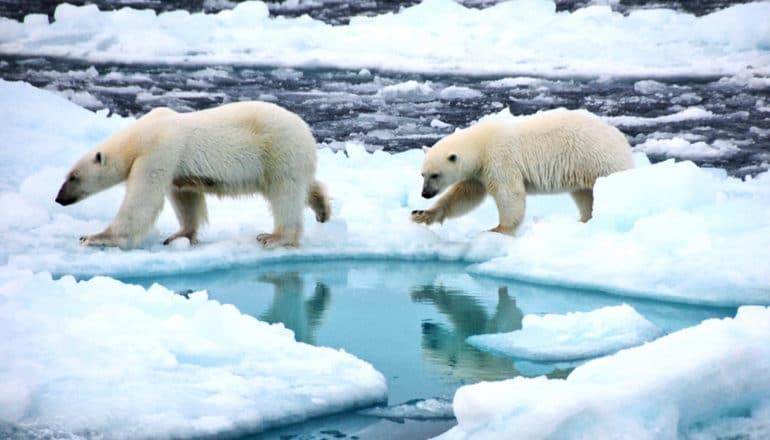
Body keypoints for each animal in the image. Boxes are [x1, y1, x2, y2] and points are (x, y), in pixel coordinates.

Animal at [53, 101, 330, 249]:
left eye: (73, 177)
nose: (58, 199)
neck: (139, 136)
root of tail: (306, 130)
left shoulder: (158, 151)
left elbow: (142, 201)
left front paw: (94, 237)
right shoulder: (175, 167)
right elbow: (185, 197)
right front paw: (179, 235)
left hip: (278, 150)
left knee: (285, 194)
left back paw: (274, 237)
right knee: (304, 185)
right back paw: (323, 208)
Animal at [408, 108, 632, 235]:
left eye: (435, 175)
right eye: (422, 174)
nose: (425, 193)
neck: (481, 145)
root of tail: (622, 139)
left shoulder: (499, 160)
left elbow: (509, 194)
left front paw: (498, 229)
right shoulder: (478, 173)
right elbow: (464, 196)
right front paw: (421, 214)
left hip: (599, 160)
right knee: (584, 195)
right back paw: (584, 220)